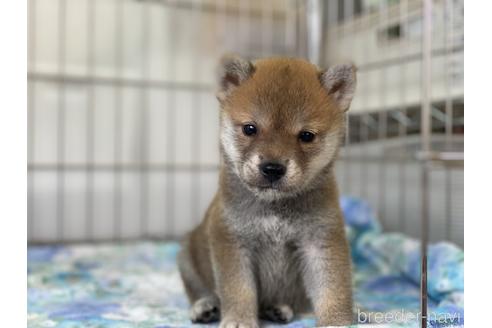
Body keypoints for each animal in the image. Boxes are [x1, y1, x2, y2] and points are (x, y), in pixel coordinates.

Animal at [179, 55, 356, 326]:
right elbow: (238, 289)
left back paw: (278, 308)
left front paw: (337, 320)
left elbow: (332, 288)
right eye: (250, 129)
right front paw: (239, 319)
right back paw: (204, 306)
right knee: (199, 290)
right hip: (187, 257)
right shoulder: (232, 241)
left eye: (306, 136)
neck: (274, 208)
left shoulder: (320, 240)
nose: (273, 168)